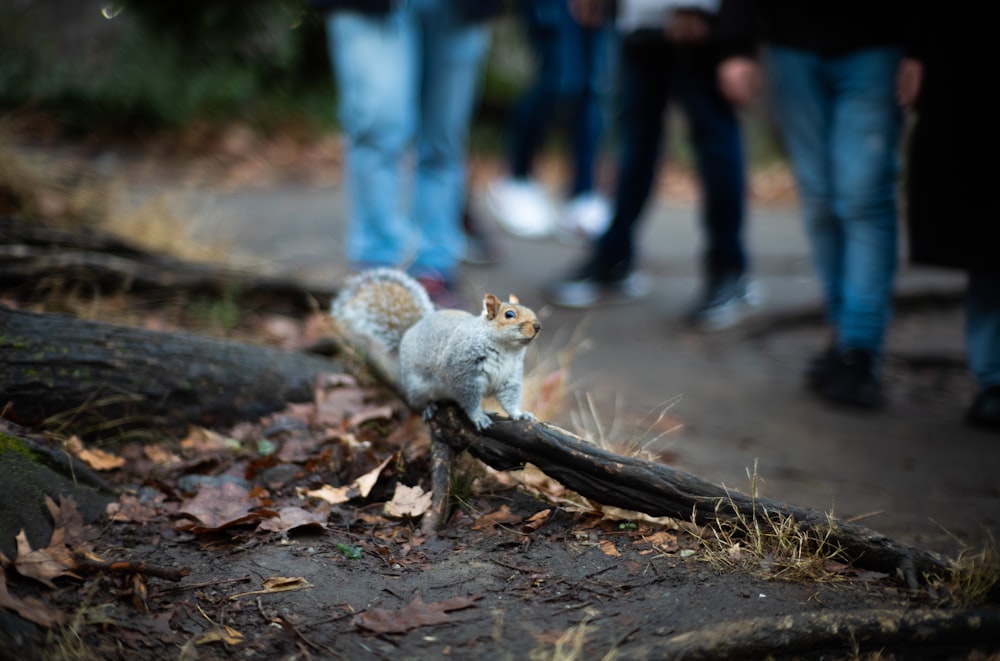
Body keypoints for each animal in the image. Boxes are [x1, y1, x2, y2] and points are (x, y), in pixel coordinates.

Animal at [332, 266, 544, 428]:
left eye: (532, 311)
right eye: (509, 315)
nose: (537, 326)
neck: (507, 350)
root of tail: (409, 333)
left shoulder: (510, 377)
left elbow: (509, 398)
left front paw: (520, 414)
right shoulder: (464, 373)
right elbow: (469, 399)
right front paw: (478, 416)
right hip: (417, 385)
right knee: (416, 402)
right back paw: (428, 407)